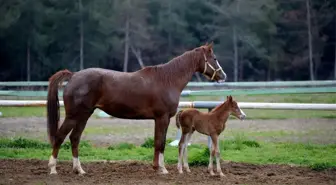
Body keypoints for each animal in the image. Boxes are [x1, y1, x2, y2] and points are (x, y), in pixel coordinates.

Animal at [46, 42, 226, 175]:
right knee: (60, 136)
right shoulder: (162, 118)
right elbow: (160, 143)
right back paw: (53, 168)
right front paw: (162, 169)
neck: (167, 80)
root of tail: (74, 75)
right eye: (214, 58)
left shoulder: (159, 119)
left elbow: (158, 142)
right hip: (73, 116)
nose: (223, 76)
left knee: (74, 138)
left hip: (84, 116)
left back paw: (79, 170)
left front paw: (156, 167)